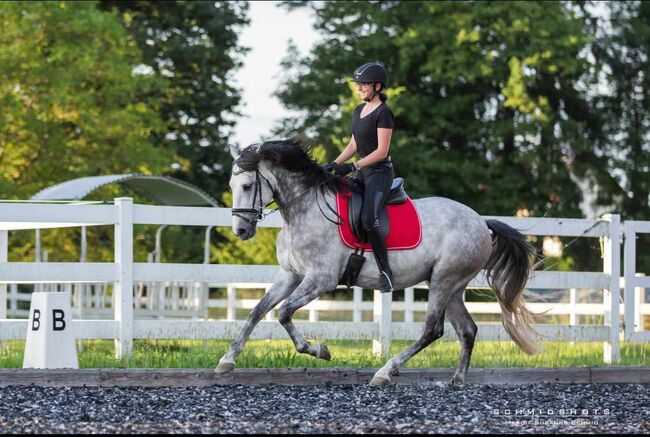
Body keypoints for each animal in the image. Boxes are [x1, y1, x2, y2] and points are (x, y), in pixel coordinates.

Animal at [216, 138, 536, 384]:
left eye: (247, 185)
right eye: (231, 183)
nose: (241, 231)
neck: (303, 210)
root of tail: (481, 222)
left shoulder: (321, 279)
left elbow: (284, 313)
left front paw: (319, 350)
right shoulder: (289, 275)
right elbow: (257, 311)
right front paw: (227, 360)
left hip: (444, 282)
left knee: (432, 330)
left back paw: (385, 372)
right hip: (451, 286)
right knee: (467, 330)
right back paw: (456, 381)